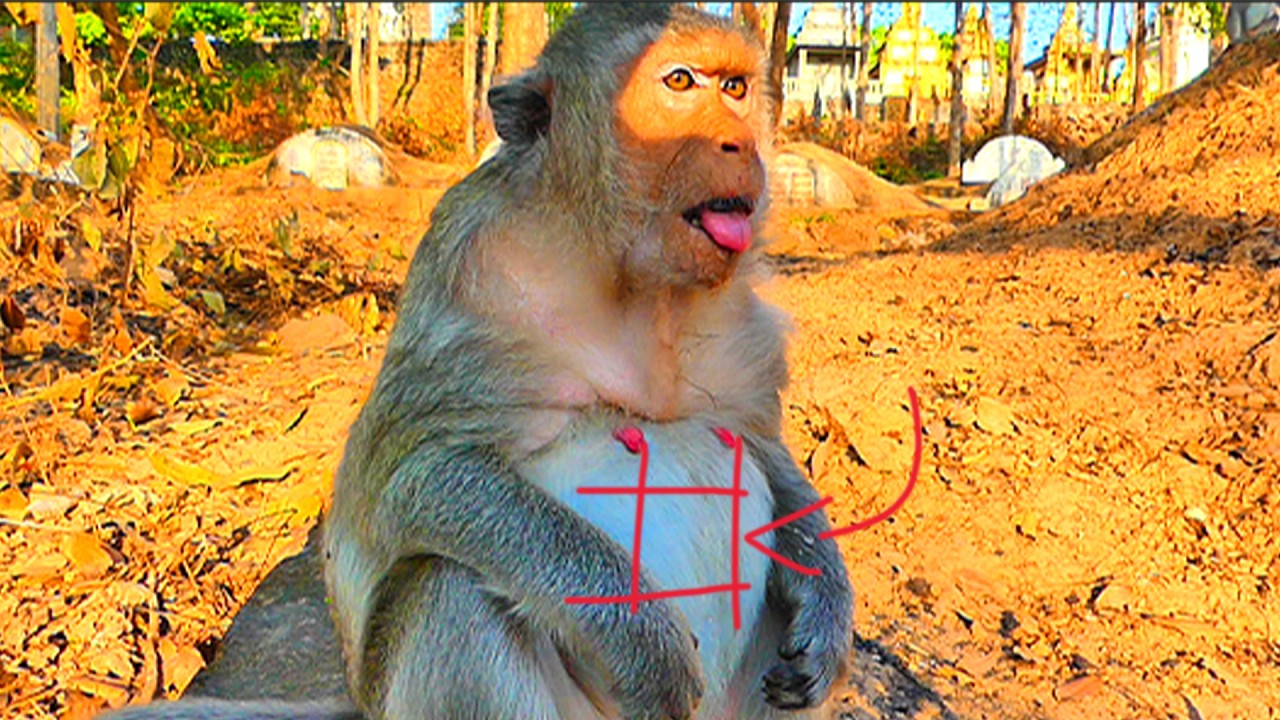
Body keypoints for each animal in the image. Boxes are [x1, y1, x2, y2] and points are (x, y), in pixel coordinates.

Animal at [101, 4, 851, 720]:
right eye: (680, 82)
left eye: (735, 88)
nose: (740, 143)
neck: (629, 279)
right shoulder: (471, 270)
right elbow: (415, 479)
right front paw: (642, 638)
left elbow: (761, 447)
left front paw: (826, 603)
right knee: (448, 586)